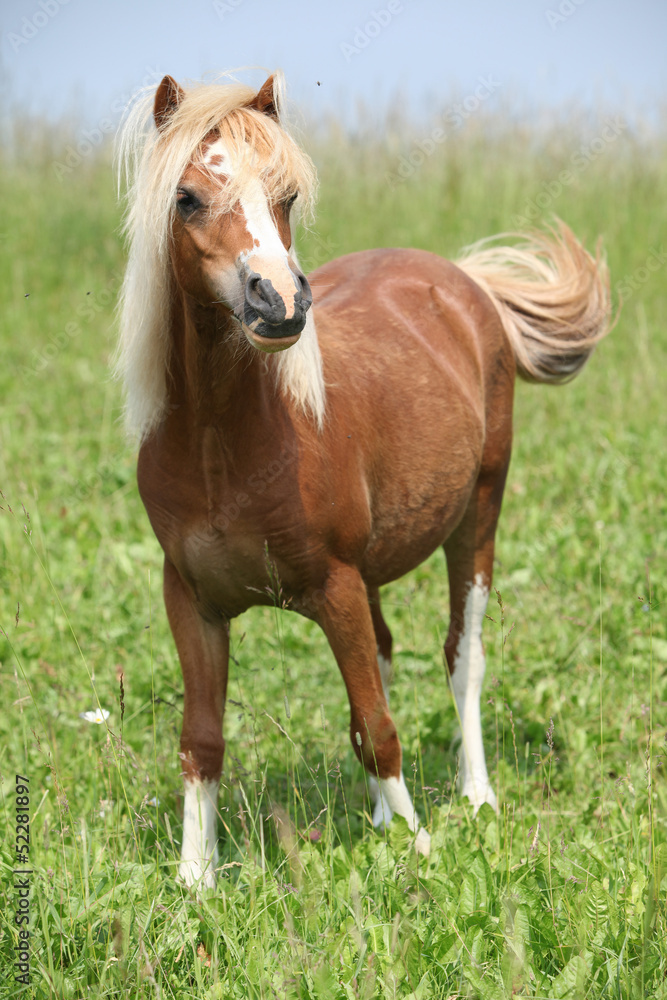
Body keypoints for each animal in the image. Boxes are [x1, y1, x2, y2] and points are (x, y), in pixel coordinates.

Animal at [115, 71, 610, 888]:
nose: (279, 303)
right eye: (185, 197)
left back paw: (475, 797)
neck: (225, 448)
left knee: (460, 656)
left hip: (477, 517)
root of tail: (464, 282)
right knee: (379, 658)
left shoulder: (336, 586)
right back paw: (380, 817)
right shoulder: (190, 600)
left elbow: (378, 725)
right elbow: (204, 737)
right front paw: (194, 877)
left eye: (285, 194)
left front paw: (419, 847)